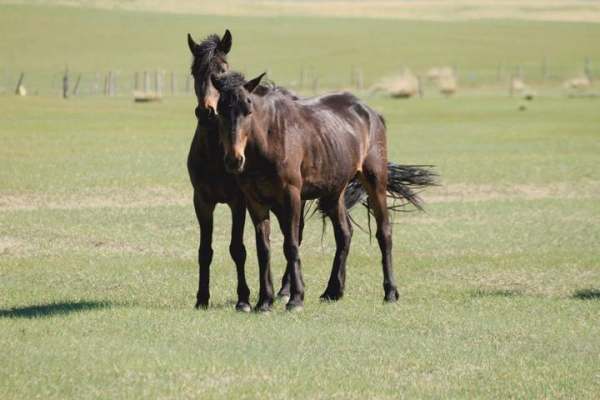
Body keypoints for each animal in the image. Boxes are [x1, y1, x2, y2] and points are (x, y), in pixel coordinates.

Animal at [211, 70, 436, 310]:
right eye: (220, 110)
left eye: (249, 110)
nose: (234, 160)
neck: (269, 138)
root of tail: (371, 112)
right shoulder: (255, 201)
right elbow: (263, 250)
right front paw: (264, 301)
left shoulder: (291, 196)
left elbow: (291, 245)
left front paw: (296, 299)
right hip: (334, 193)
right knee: (344, 233)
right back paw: (333, 290)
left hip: (374, 181)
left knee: (384, 232)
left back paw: (390, 292)